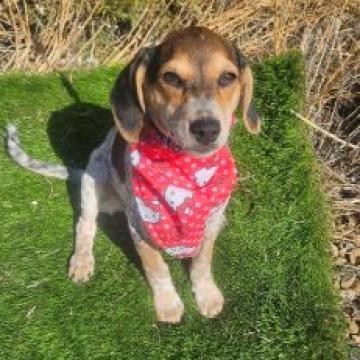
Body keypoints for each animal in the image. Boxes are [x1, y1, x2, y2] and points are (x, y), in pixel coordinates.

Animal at [5, 25, 258, 324]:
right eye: (171, 77)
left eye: (228, 77)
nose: (207, 129)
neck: (186, 170)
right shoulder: (139, 225)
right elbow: (157, 268)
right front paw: (168, 305)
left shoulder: (209, 221)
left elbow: (202, 263)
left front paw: (207, 294)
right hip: (93, 182)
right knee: (85, 225)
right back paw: (82, 261)